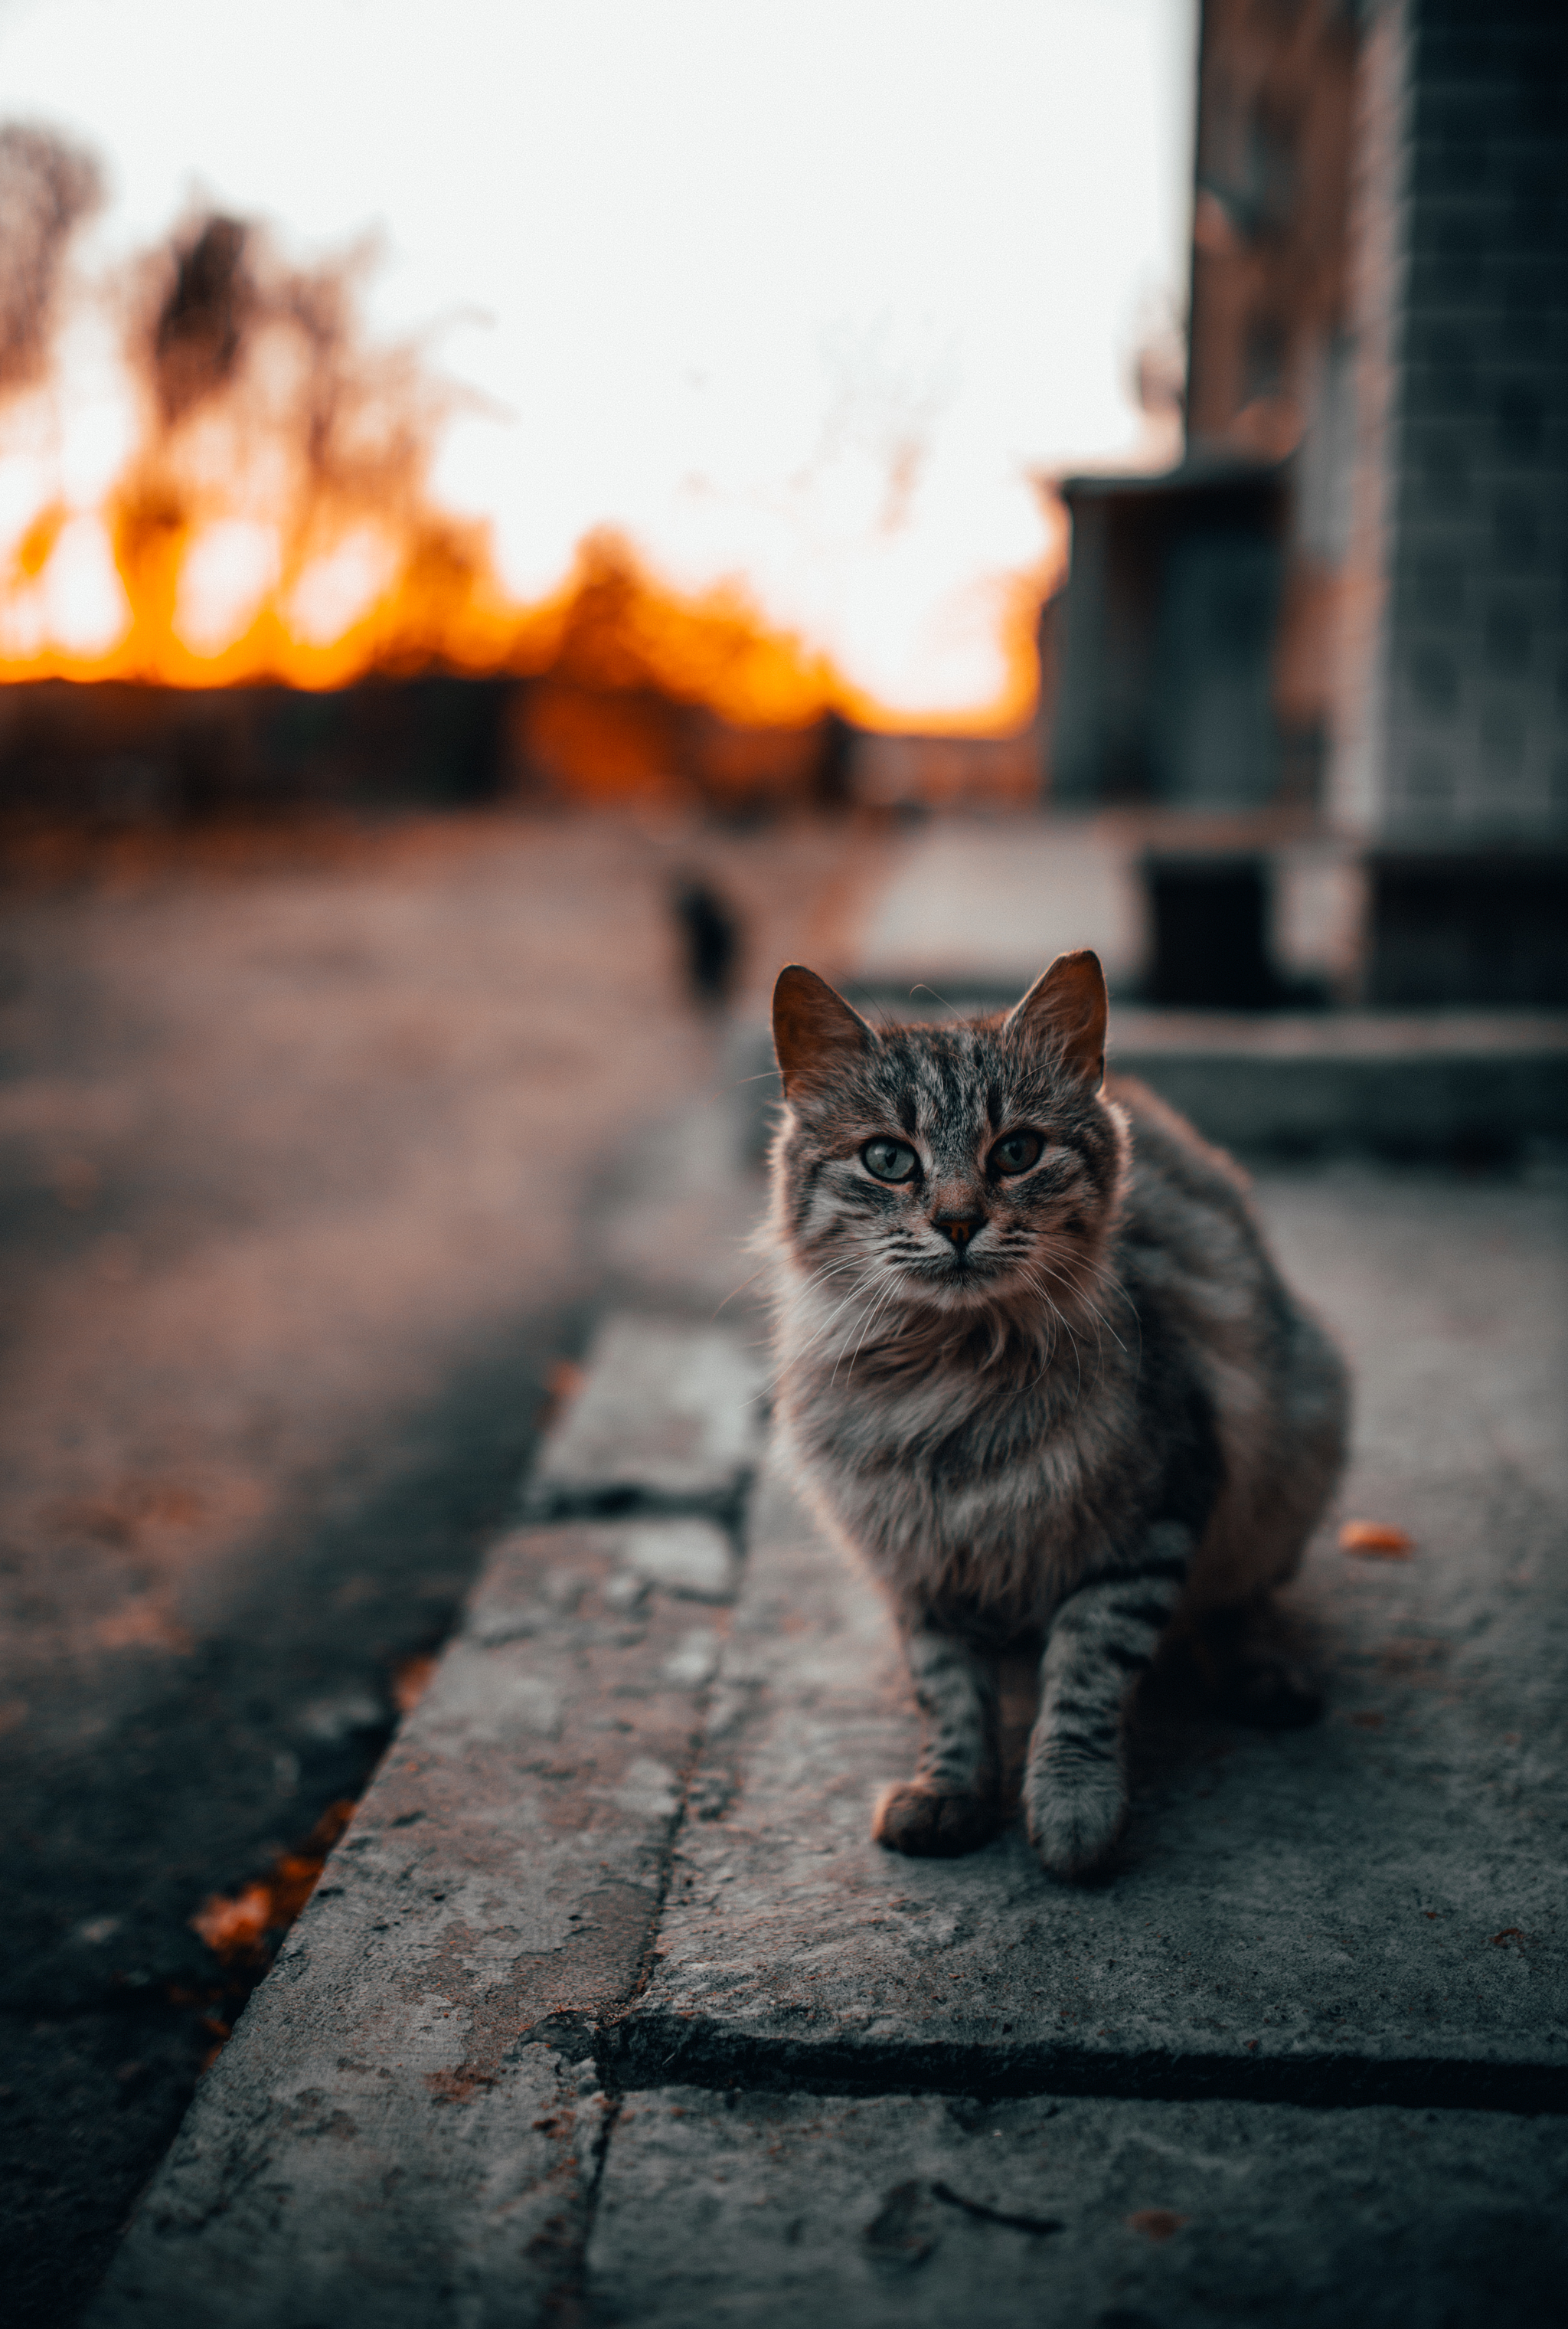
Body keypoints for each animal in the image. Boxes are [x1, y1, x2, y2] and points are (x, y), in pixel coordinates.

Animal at [764, 945, 1341, 1872]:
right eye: (889, 1159)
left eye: (1017, 1151)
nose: (958, 1221)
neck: (949, 1381)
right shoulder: (919, 1560)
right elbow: (947, 1692)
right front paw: (949, 1793)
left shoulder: (1148, 1520)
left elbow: (1084, 1673)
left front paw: (1072, 1807)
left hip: (1294, 1454)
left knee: (1238, 1604)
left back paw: (1264, 1677)